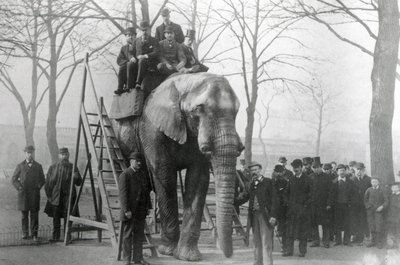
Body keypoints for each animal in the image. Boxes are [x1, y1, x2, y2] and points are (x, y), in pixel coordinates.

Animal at [113, 71, 244, 260]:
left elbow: (198, 180)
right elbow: (165, 177)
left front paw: (188, 256)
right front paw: (167, 251)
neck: (187, 81)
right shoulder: (152, 130)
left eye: (237, 111)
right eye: (198, 109)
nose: (228, 254)